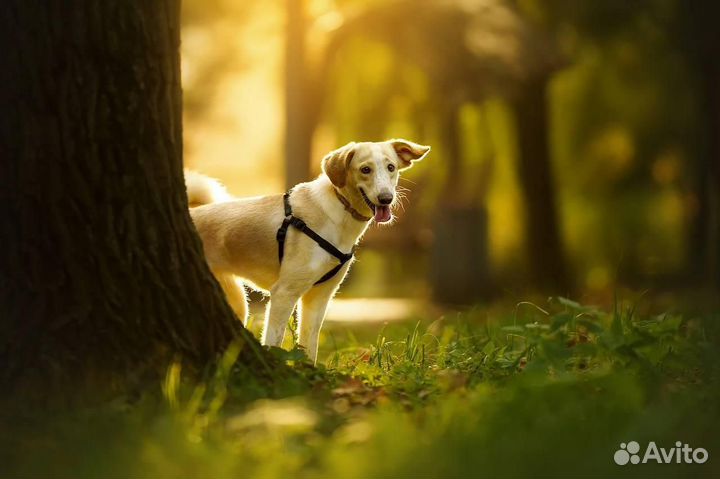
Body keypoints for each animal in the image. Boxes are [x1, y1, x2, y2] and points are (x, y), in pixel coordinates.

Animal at [188, 138, 430, 360]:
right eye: (365, 170)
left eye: (391, 167)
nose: (386, 198)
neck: (339, 210)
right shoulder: (284, 293)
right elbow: (274, 341)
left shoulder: (318, 298)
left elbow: (309, 346)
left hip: (237, 302)